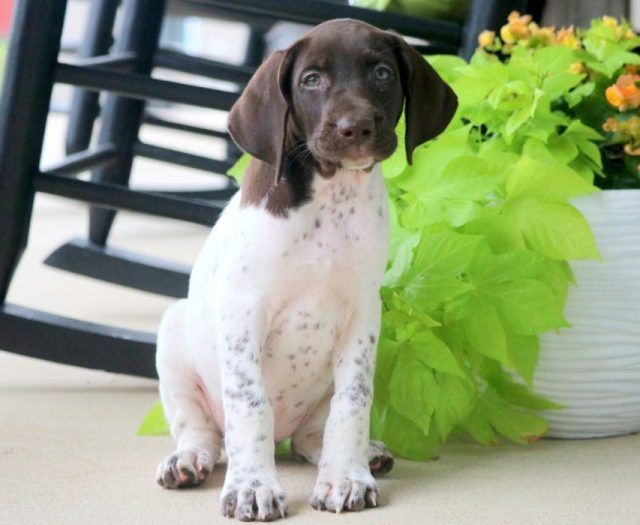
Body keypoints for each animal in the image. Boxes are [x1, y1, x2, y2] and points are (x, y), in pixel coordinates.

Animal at [154, 17, 456, 520]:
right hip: (173, 334)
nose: (356, 127)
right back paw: (188, 461)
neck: (331, 199)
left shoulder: (362, 315)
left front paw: (347, 477)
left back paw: (361, 455)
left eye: (382, 74)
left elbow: (353, 401)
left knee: (311, 435)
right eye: (311, 80)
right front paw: (252, 487)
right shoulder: (242, 312)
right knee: (203, 430)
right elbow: (250, 404)